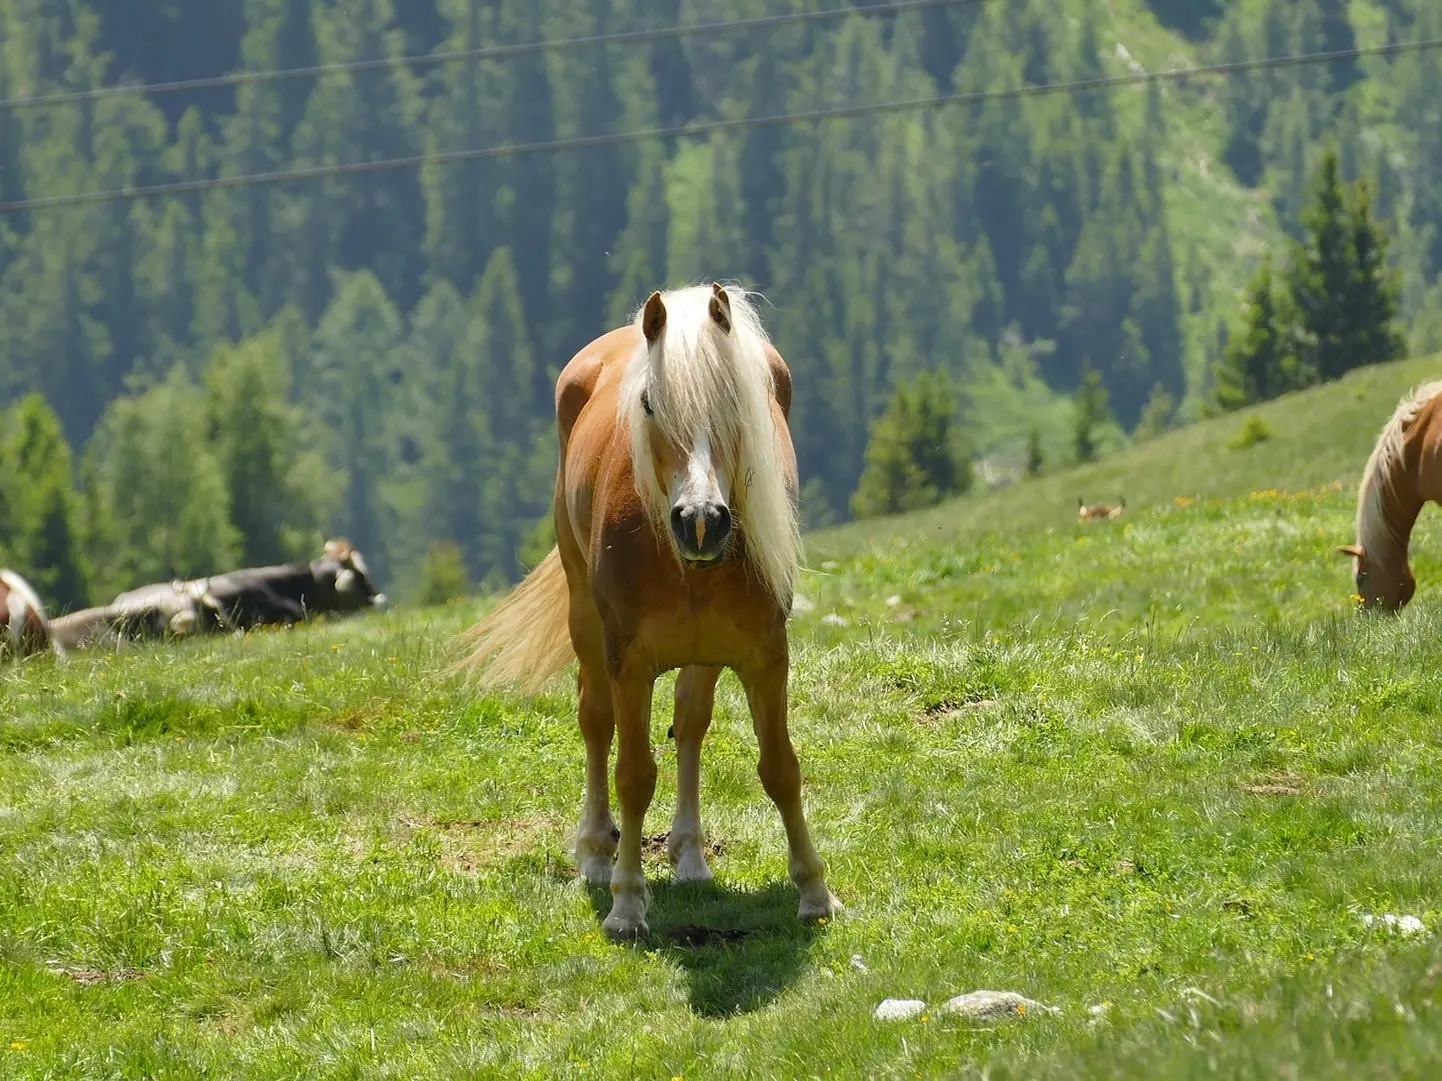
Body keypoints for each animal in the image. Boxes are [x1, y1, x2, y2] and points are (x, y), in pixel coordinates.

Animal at [461, 281, 842, 939]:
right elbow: (634, 775)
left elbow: (780, 768)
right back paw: (595, 853)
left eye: (737, 398)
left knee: (689, 724)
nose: (701, 521)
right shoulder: (630, 664)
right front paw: (626, 902)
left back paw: (689, 853)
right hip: (587, 625)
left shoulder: (766, 656)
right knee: (595, 722)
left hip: (704, 654)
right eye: (647, 403)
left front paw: (815, 892)